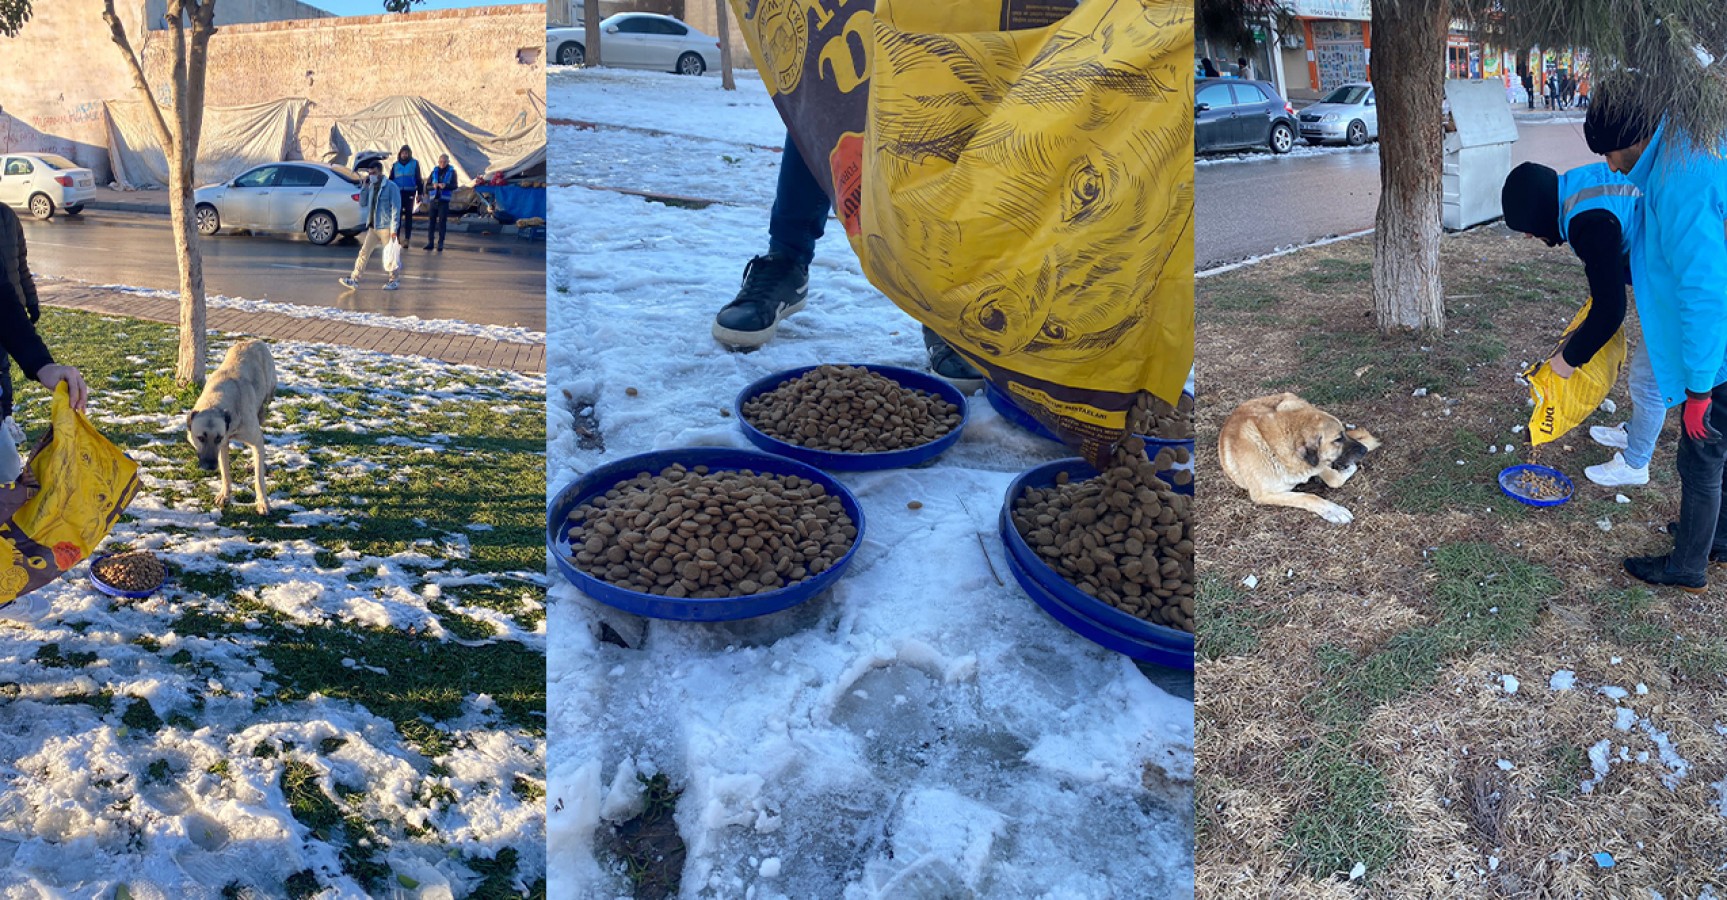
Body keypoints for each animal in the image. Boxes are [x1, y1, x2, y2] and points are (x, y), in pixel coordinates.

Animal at [186, 340, 276, 514]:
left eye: (218, 437)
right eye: (200, 438)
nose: (209, 466)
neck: (215, 404)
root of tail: (254, 341)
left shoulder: (251, 439)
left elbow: (259, 478)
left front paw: (263, 502)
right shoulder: (223, 445)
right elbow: (225, 472)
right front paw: (225, 494)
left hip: (265, 402)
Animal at [1222, 388, 1381, 521]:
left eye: (1343, 435)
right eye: (1338, 439)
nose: (1364, 450)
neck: (1274, 452)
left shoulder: (1316, 465)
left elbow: (1333, 479)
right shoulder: (1264, 494)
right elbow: (1309, 497)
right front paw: (1332, 510)